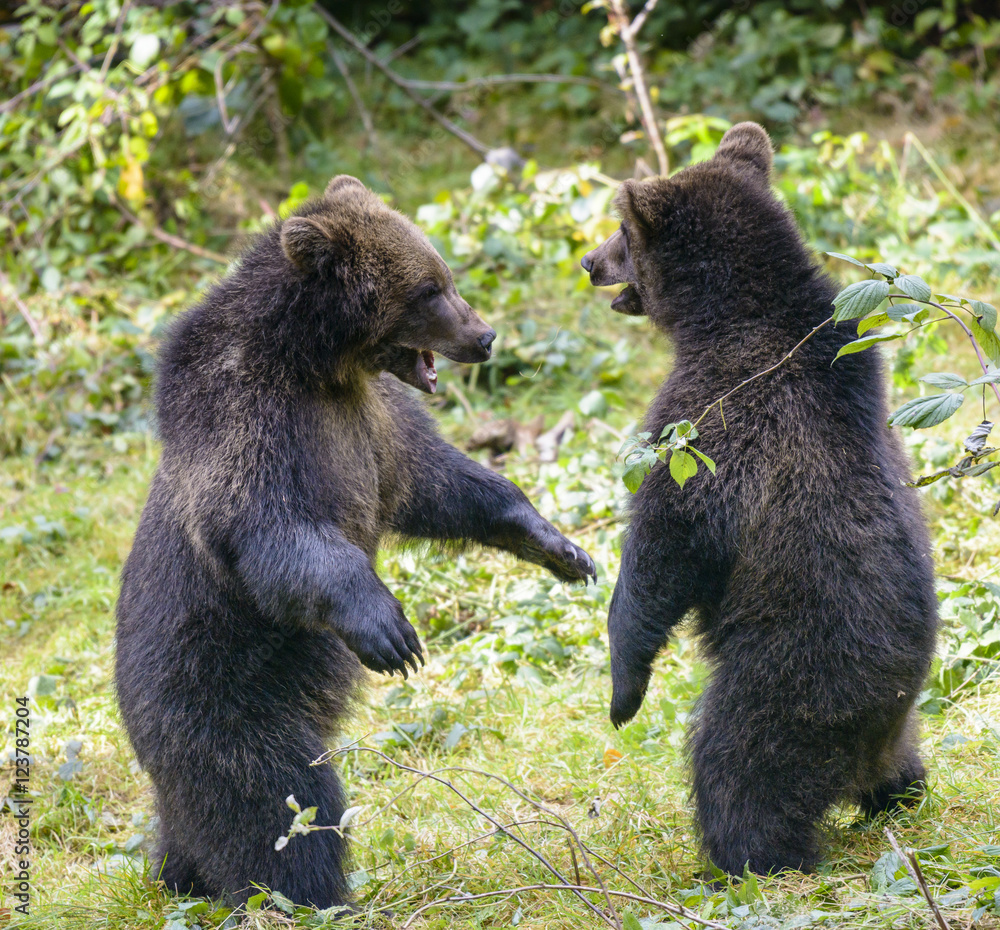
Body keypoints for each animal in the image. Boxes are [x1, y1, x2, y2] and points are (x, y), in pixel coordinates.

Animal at [114, 175, 596, 909]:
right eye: (428, 290)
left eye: (444, 277)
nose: (485, 336)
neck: (318, 365)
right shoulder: (248, 419)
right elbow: (274, 529)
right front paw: (392, 632)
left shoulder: (372, 424)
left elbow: (435, 481)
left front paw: (560, 546)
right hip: (221, 699)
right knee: (280, 801)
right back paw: (315, 895)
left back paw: (182, 872)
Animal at [581, 123, 938, 875]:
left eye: (622, 232)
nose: (590, 261)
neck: (727, 319)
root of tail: (873, 735)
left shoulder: (711, 429)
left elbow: (663, 546)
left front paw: (622, 691)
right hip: (891, 720)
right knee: (901, 766)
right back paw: (896, 793)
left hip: (790, 673)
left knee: (739, 762)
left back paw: (745, 855)